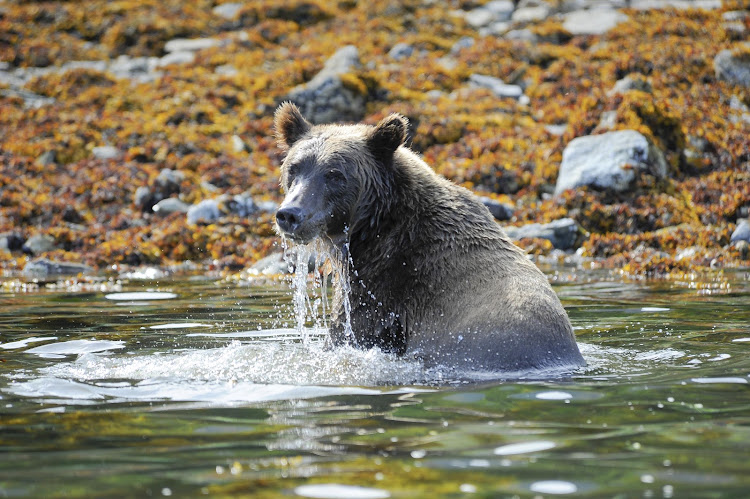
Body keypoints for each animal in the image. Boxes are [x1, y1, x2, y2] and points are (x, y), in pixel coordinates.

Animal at [274, 102, 588, 376]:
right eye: (294, 168)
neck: (373, 228)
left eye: (334, 174)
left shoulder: (382, 286)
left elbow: (349, 332)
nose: (290, 214)